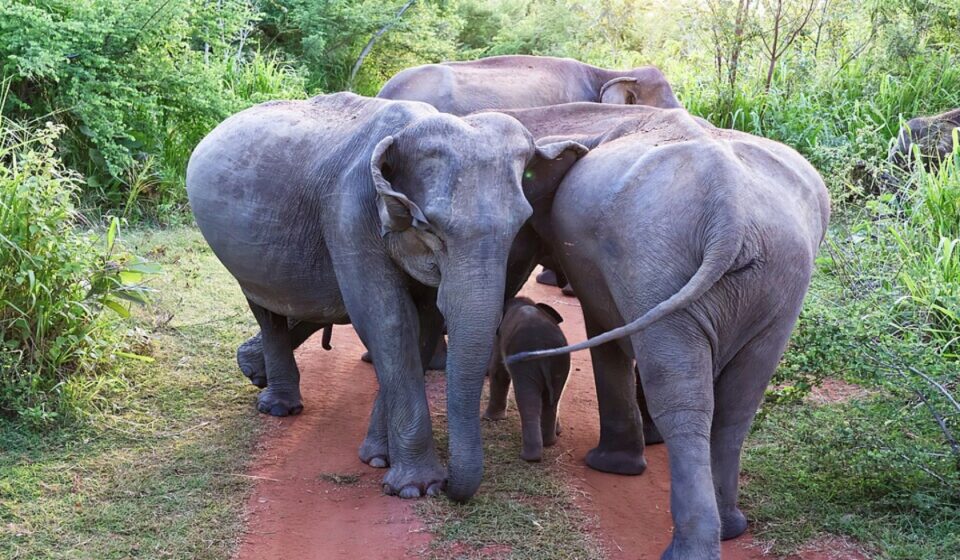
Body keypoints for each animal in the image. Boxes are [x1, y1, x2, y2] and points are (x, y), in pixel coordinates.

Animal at [483, 297, 570, 462]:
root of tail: (544, 346)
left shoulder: (500, 338)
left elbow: (498, 371)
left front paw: (490, 419)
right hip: (560, 363)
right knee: (552, 400)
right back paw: (549, 442)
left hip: (527, 364)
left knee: (527, 400)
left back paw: (529, 457)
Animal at [494, 102, 829, 559]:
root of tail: (730, 210)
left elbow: (608, 333)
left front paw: (612, 467)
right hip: (772, 279)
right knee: (737, 401)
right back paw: (730, 529)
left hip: (666, 261)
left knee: (682, 395)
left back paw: (690, 547)